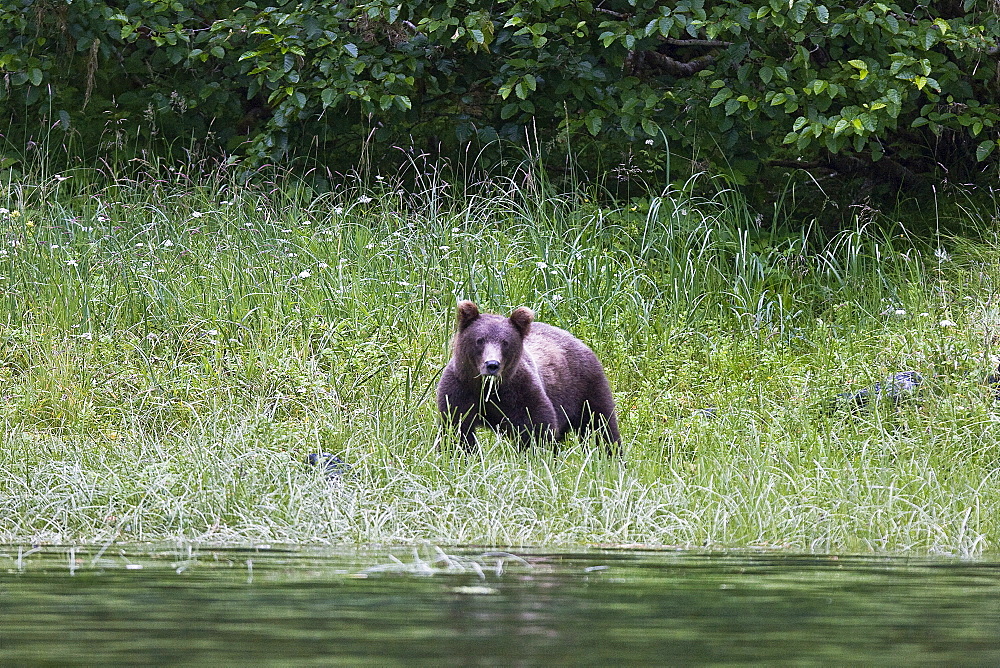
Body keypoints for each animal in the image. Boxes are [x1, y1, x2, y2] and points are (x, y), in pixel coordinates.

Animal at [436, 302, 616, 454]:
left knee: (601, 424)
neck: (486, 387)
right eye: (479, 340)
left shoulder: (519, 391)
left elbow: (536, 426)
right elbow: (457, 427)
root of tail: (577, 340)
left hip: (584, 387)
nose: (492, 364)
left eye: (505, 342)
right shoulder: (460, 389)